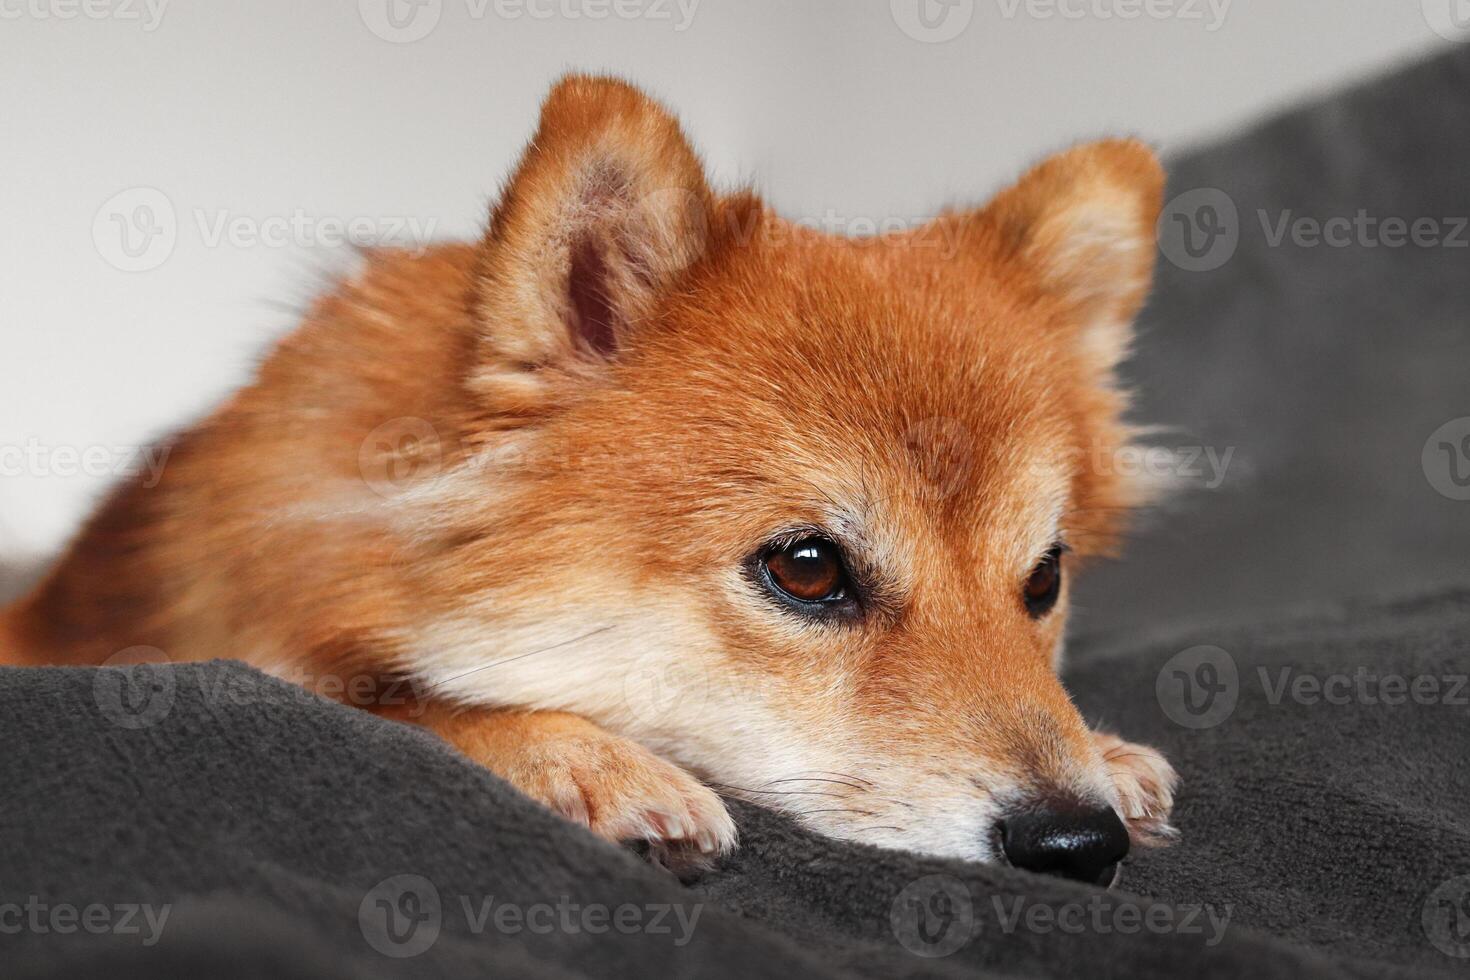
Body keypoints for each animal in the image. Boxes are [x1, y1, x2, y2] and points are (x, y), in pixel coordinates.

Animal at [0, 72, 1176, 875]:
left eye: (1043, 580)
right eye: (805, 568)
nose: (1076, 840)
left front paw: (1109, 749)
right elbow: (407, 705)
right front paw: (584, 759)